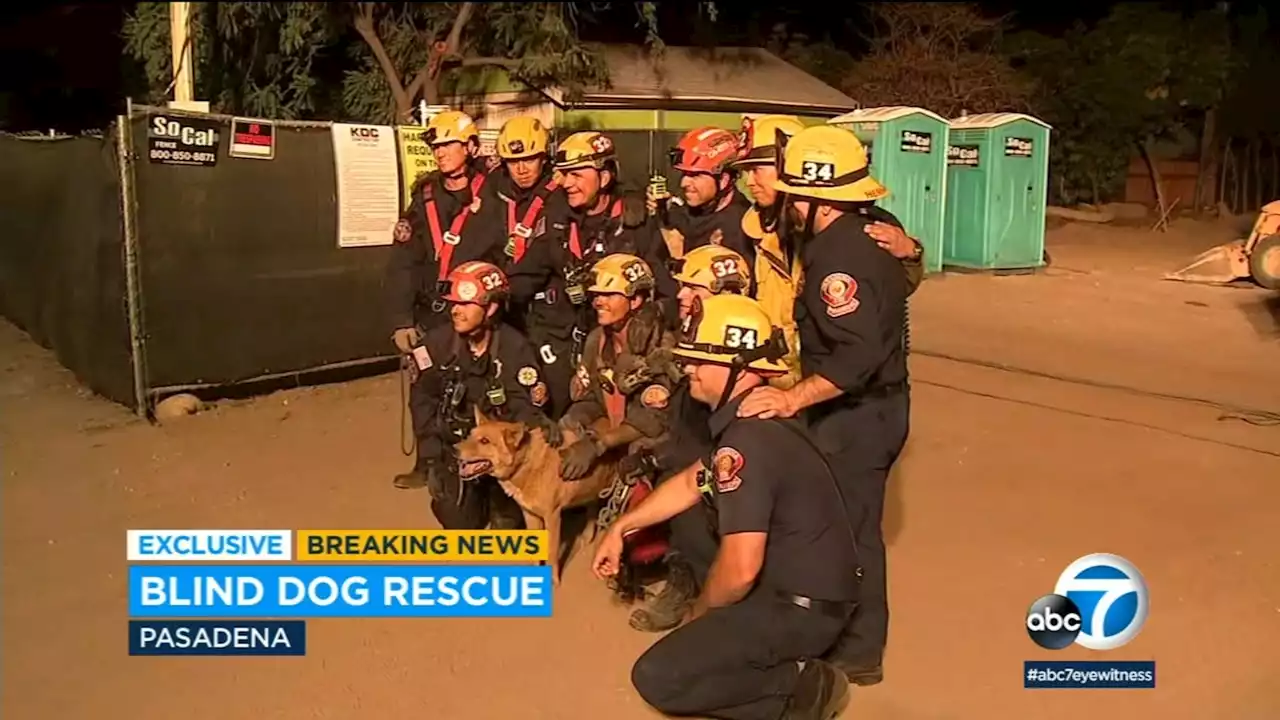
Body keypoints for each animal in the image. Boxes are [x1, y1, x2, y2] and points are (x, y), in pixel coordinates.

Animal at [458, 409, 622, 584]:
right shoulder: (530, 515)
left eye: (484, 441)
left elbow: (551, 552)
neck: (525, 464)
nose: (454, 449)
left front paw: (553, 580)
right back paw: (588, 535)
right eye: (470, 435)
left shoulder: (553, 517)